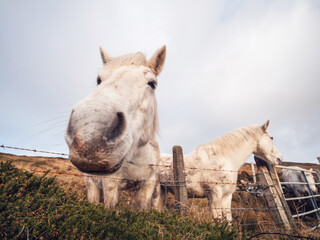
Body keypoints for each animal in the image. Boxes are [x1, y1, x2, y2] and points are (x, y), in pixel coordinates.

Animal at [64, 46, 166, 209]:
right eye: (99, 80)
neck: (137, 157)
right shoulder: (111, 182)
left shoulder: (148, 184)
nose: (90, 134)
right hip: (91, 184)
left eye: (152, 83)